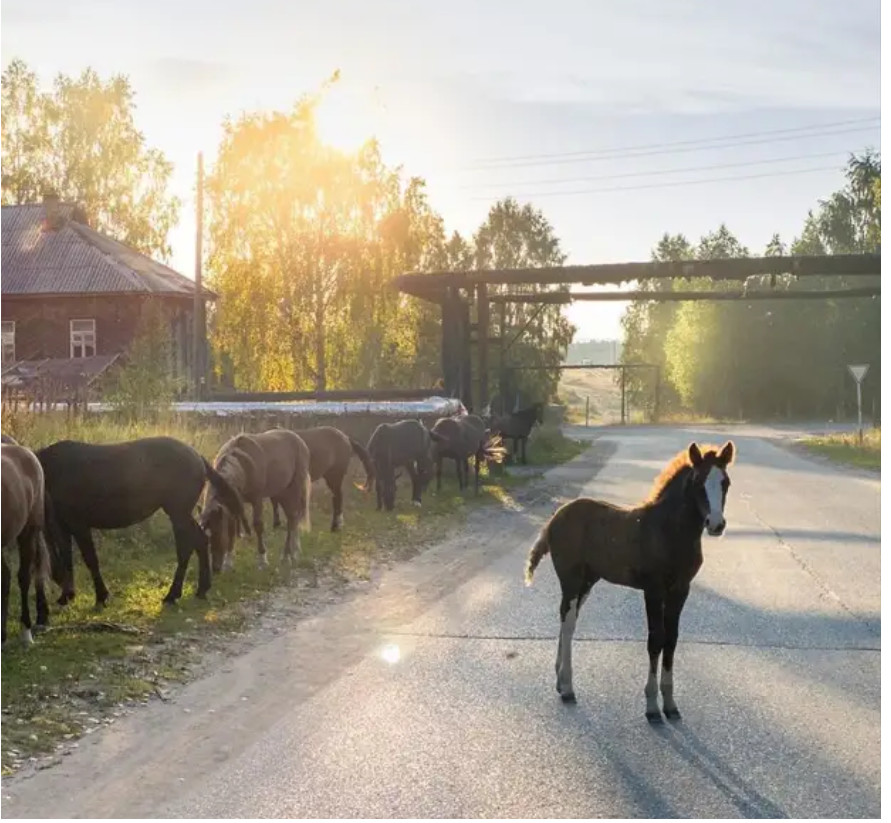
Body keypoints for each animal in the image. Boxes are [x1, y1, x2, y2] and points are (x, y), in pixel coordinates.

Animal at [36, 438, 249, 604]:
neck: (52, 471)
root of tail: (198, 457)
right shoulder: (62, 526)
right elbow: (67, 558)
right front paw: (67, 596)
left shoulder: (79, 524)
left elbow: (90, 559)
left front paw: (101, 596)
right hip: (180, 513)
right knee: (200, 541)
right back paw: (200, 589)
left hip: (178, 512)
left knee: (188, 546)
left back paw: (173, 594)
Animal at [200, 428, 312, 576]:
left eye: (218, 533)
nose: (216, 568)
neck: (243, 464)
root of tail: (299, 440)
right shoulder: (234, 504)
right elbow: (232, 529)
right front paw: (228, 563)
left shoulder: (257, 500)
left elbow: (258, 526)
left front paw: (262, 560)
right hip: (280, 492)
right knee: (293, 519)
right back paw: (293, 552)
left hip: (293, 489)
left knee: (292, 519)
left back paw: (288, 556)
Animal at [528, 444, 736, 720]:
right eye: (698, 482)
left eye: (726, 483)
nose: (716, 524)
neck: (669, 531)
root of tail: (554, 518)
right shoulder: (653, 589)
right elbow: (655, 639)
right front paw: (652, 707)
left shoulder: (681, 589)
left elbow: (671, 639)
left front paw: (670, 705)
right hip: (570, 579)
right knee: (569, 622)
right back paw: (568, 688)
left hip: (588, 580)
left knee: (565, 618)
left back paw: (561, 683)